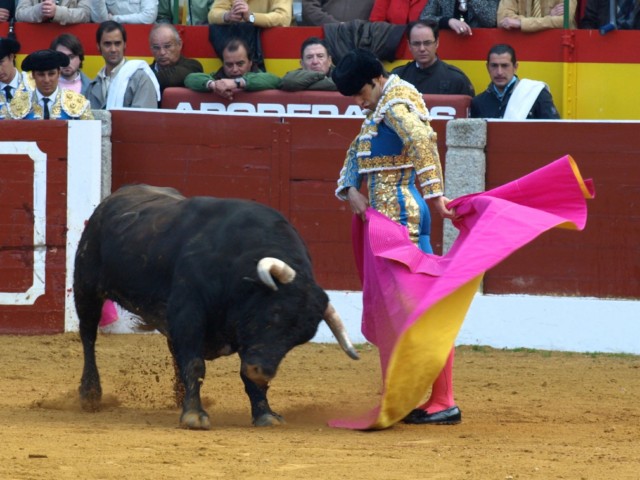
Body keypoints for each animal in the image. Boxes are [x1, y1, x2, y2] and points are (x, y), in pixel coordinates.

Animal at [75, 186, 360, 430]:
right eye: (274, 314)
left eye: (300, 338)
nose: (263, 372)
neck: (237, 264)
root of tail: (111, 200)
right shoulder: (189, 313)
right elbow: (195, 364)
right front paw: (194, 415)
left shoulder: (241, 335)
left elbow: (238, 374)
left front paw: (265, 413)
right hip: (86, 287)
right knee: (88, 335)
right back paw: (90, 394)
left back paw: (178, 396)